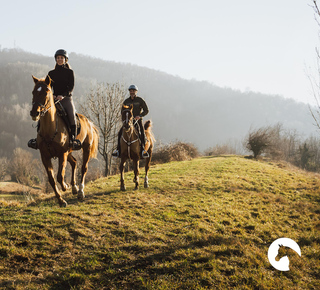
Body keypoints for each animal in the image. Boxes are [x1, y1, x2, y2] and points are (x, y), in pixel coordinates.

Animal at [30, 75, 98, 206]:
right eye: (33, 92)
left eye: (46, 93)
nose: (34, 113)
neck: (50, 130)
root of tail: (88, 121)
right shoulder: (45, 156)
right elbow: (52, 179)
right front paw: (61, 201)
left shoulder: (62, 154)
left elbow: (60, 176)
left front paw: (65, 186)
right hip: (69, 151)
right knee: (75, 162)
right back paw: (75, 188)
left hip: (85, 148)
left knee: (84, 167)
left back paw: (80, 192)